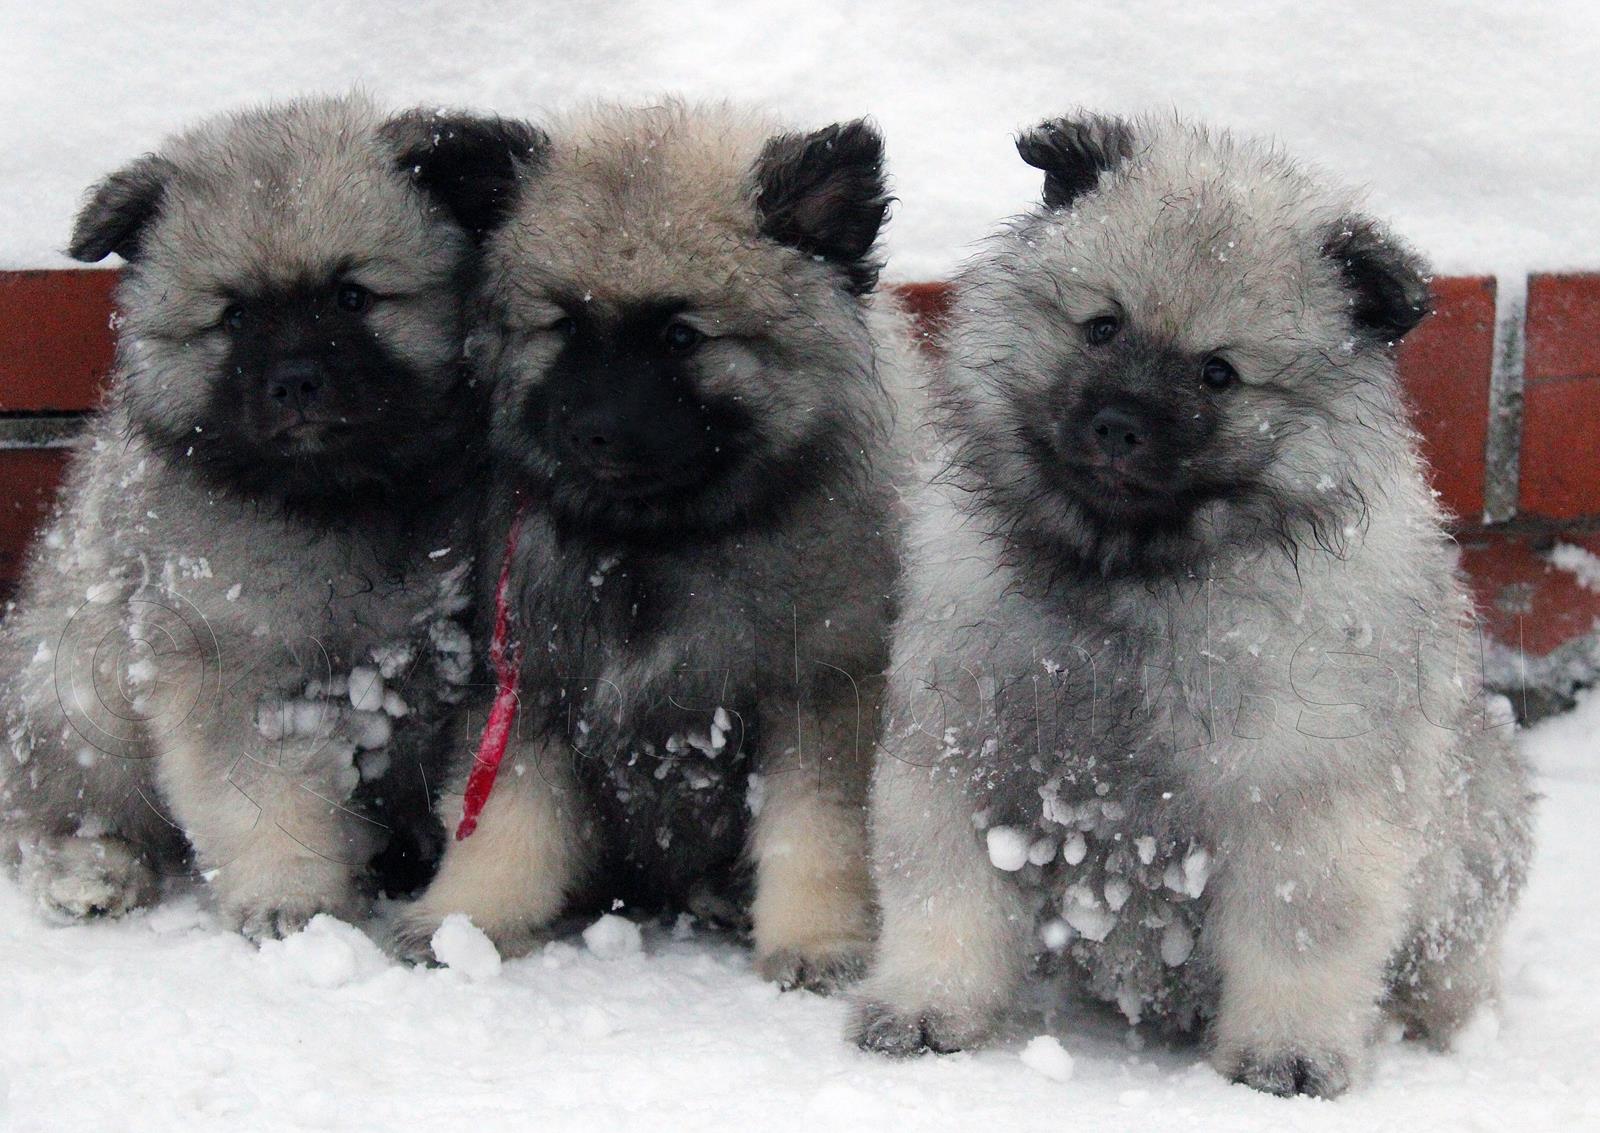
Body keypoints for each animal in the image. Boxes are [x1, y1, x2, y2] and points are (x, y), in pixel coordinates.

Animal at [0, 95, 540, 940]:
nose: (295, 382)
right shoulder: (240, 670)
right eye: (235, 316)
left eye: (352, 295)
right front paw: (293, 898)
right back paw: (90, 870)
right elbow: (265, 801)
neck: (339, 500)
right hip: (81, 699)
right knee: (53, 814)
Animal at [393, 106, 921, 992]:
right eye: (567, 326)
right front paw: (465, 920)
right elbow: (504, 823)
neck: (651, 541)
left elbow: (812, 833)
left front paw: (815, 938)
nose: (594, 431)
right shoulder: (528, 687)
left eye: (680, 335)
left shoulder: (818, 696)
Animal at [851, 110, 1536, 1094]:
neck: (1132, 581)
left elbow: (1301, 937)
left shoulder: (1301, 805)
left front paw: (1286, 1051)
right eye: (1102, 326)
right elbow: (943, 901)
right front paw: (924, 1005)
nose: (1118, 425)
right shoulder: (963, 757)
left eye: (1218, 373)